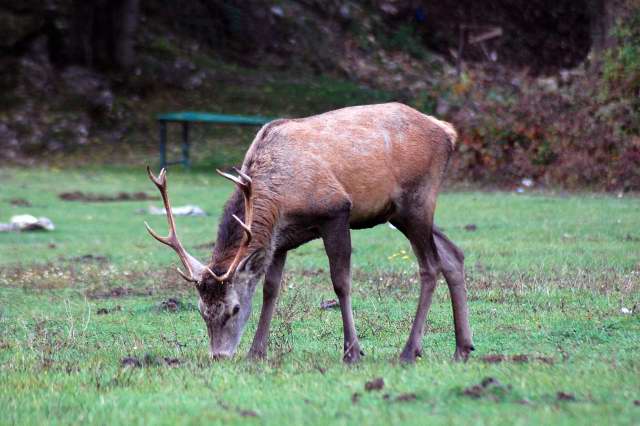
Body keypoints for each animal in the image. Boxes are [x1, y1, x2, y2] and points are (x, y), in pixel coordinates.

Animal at [146, 102, 476, 362]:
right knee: (453, 254)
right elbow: (270, 289)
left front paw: (352, 351)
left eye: (235, 309)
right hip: (399, 212)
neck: (281, 198)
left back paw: (409, 351)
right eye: (201, 310)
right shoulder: (279, 241)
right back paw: (462, 348)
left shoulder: (337, 211)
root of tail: (448, 132)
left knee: (430, 265)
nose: (219, 355)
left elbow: (341, 282)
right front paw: (256, 352)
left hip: (417, 199)